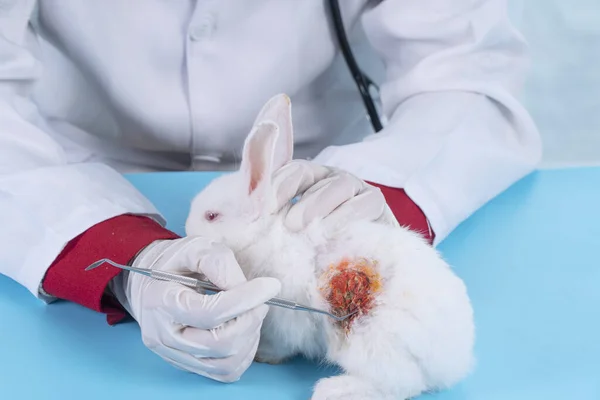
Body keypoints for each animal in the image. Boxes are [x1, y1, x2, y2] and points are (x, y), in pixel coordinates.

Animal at [185, 94, 476, 400]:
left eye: (211, 216)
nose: (187, 231)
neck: (266, 236)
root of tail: (453, 362)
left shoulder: (284, 319)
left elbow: (281, 345)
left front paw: (263, 354)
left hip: (366, 341)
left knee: (400, 385)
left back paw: (335, 390)